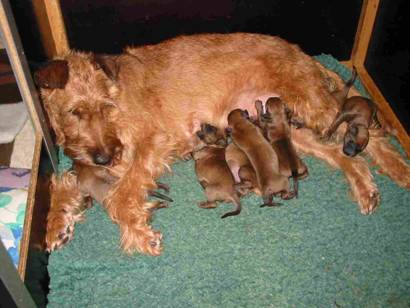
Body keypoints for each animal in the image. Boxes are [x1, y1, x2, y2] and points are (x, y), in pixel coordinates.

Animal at [35, 32, 410, 256]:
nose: (103, 158)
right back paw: (364, 187)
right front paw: (56, 225)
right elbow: (63, 181)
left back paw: (398, 170)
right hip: (290, 126)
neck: (117, 96)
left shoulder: (149, 144)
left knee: (369, 135)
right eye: (75, 112)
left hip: (313, 106)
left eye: (106, 108)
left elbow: (120, 195)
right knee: (343, 153)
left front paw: (139, 234)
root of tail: (300, 51)